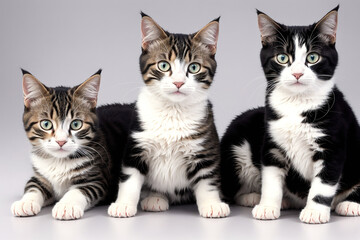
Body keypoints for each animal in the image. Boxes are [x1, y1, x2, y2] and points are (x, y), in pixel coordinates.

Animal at [11, 69, 134, 219]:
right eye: (46, 124)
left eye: (76, 124)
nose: (61, 141)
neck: (59, 161)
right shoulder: (40, 174)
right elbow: (33, 185)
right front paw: (26, 202)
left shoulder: (98, 179)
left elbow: (79, 190)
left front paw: (66, 205)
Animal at [107, 13, 231, 219]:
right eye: (164, 65)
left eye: (194, 67)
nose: (178, 82)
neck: (173, 111)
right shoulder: (136, 145)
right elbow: (129, 178)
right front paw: (123, 204)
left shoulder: (205, 146)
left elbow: (207, 178)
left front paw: (212, 204)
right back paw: (155, 197)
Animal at [221, 6, 360, 224]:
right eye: (282, 58)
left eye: (313, 57)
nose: (297, 74)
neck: (296, 104)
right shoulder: (272, 144)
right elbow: (270, 178)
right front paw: (267, 206)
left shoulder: (332, 143)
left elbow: (324, 182)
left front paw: (315, 211)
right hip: (237, 134)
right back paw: (255, 197)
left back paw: (350, 204)